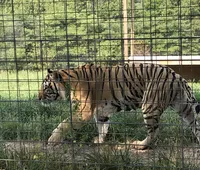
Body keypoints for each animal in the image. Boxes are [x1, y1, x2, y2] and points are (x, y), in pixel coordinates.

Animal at [38, 62, 200, 149]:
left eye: (46, 88)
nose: (38, 97)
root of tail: (176, 75)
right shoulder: (101, 112)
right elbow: (102, 127)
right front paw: (99, 141)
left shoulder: (84, 111)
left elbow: (65, 123)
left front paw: (52, 139)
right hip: (184, 107)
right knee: (195, 125)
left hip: (149, 106)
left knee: (154, 132)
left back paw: (139, 145)